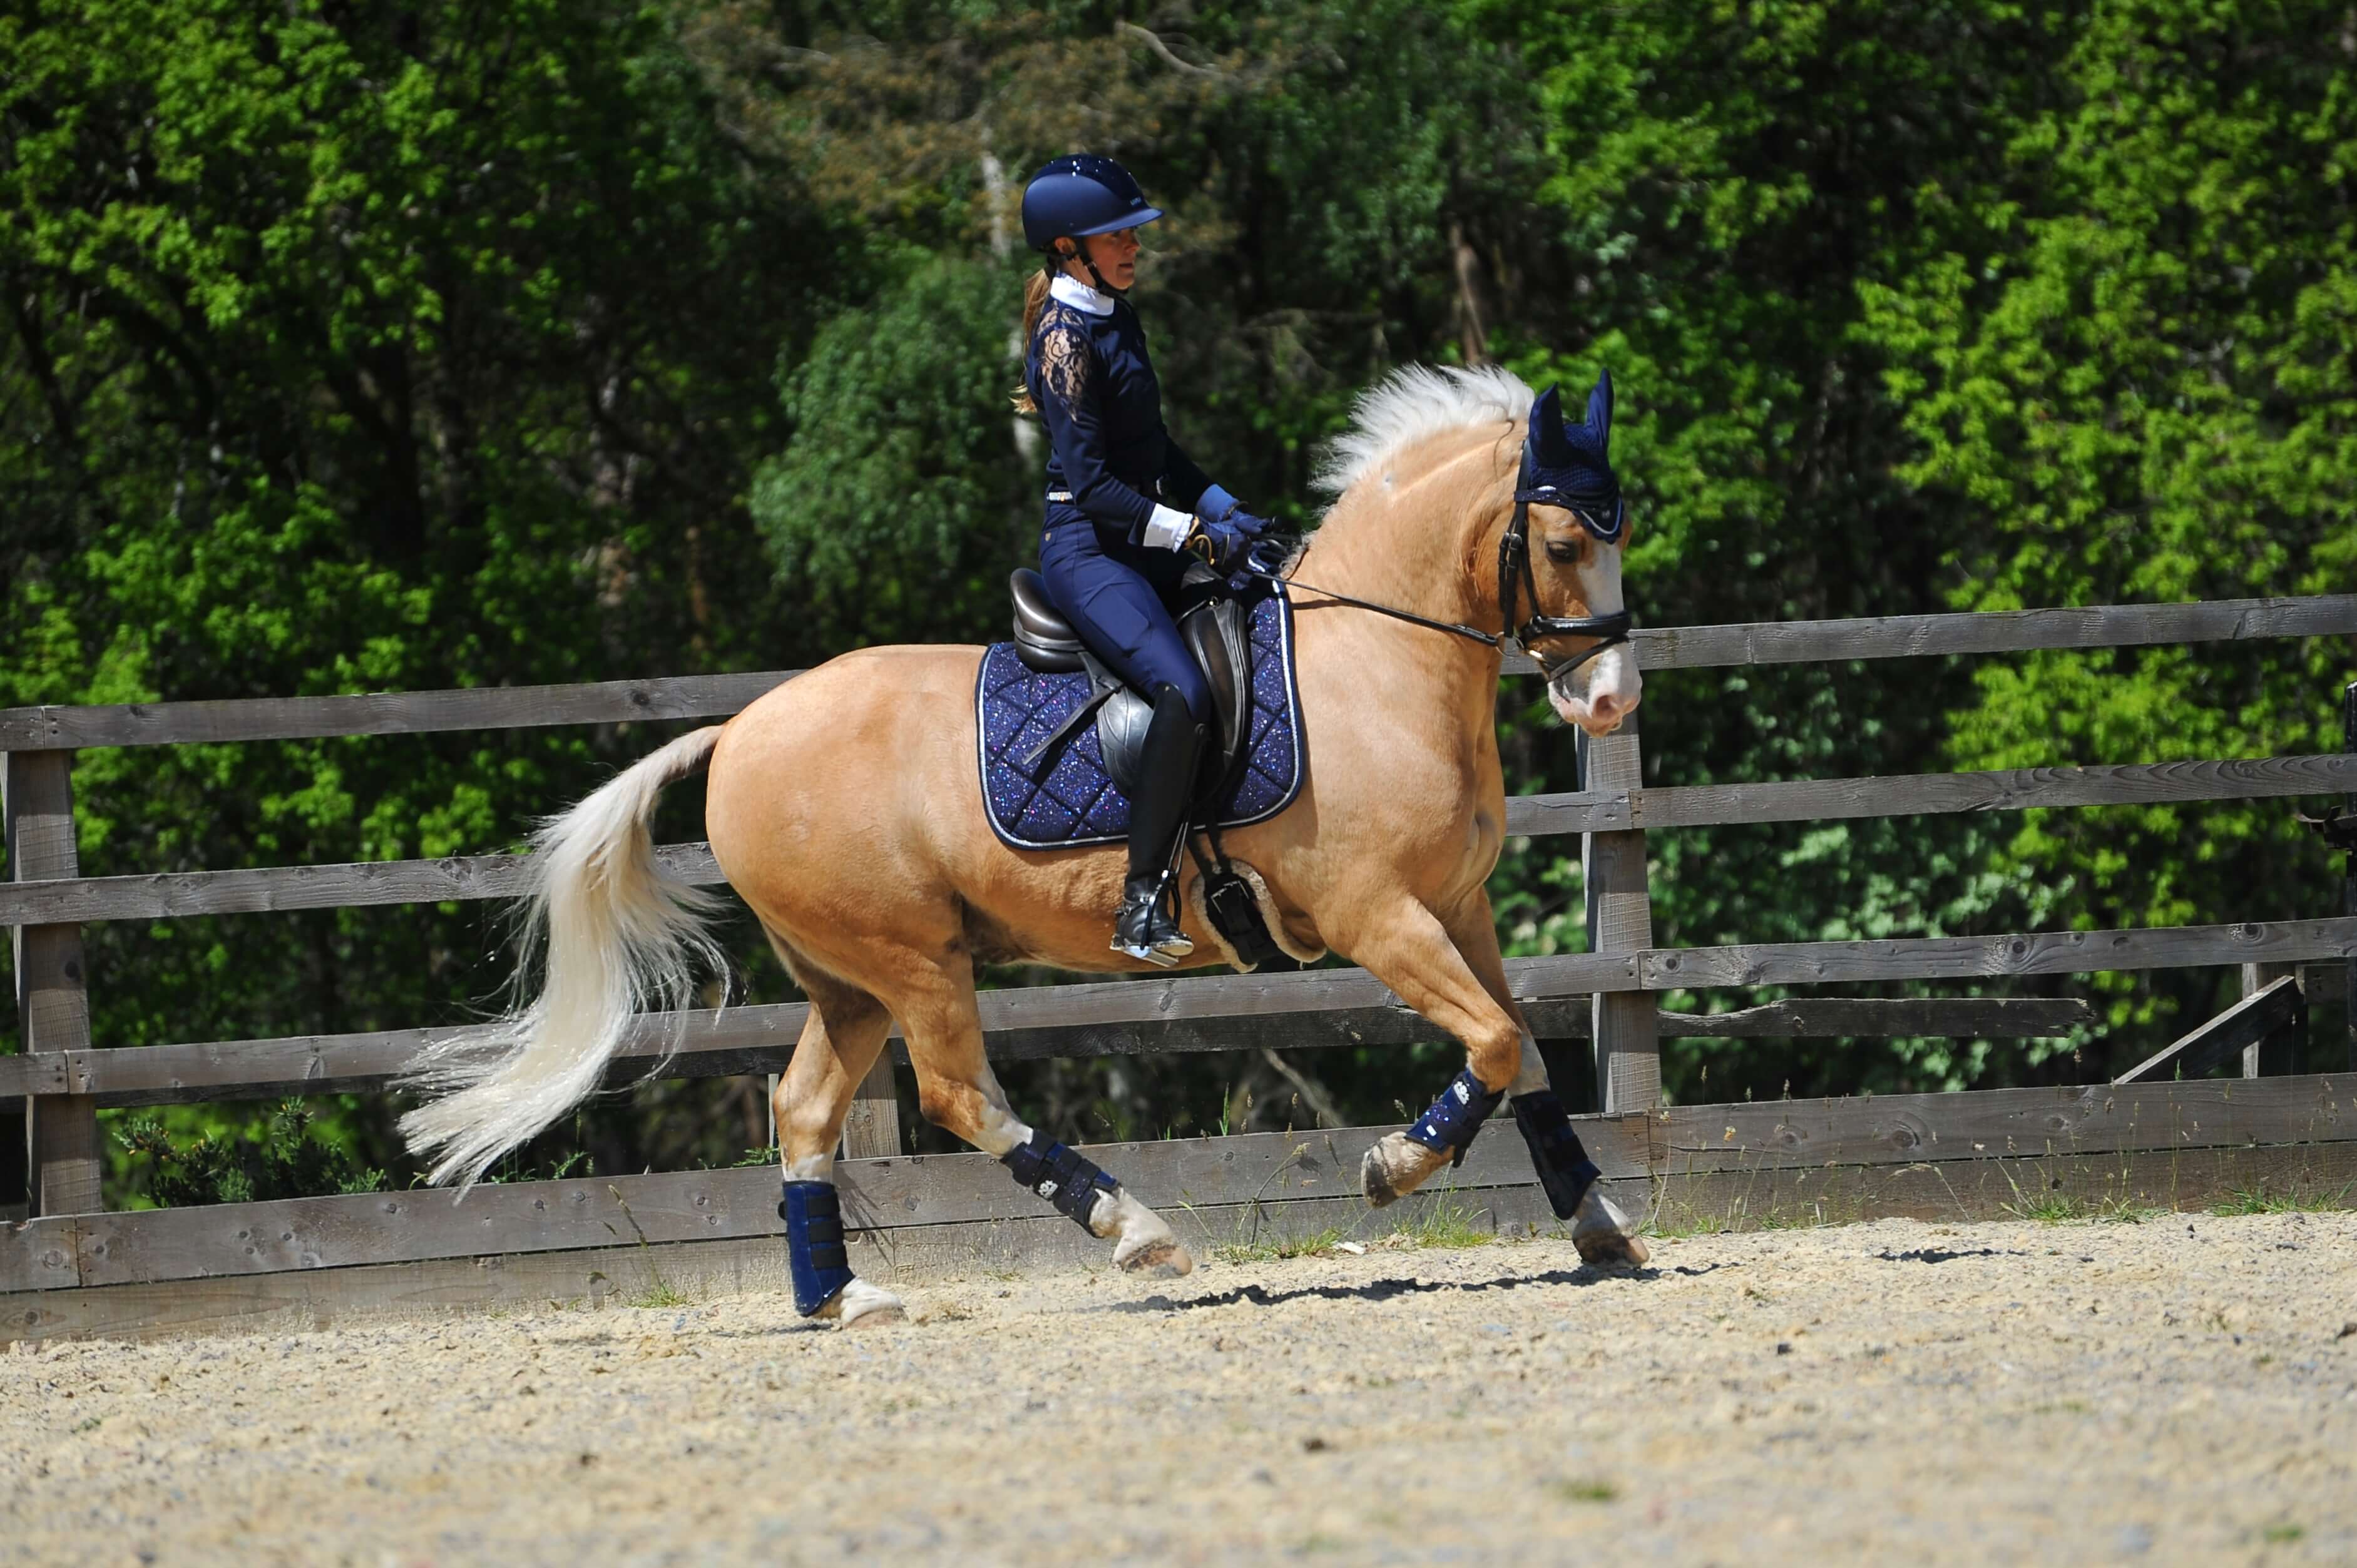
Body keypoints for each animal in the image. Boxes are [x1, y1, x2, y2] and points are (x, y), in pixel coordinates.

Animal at [405, 363, 1650, 1320]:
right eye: (1557, 541)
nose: (1610, 703)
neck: (1378, 667)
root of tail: (743, 729)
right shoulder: (1374, 915)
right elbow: (1493, 1042)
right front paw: (1394, 1166)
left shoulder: (1459, 909)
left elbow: (1523, 1051)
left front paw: (1598, 1224)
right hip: (914, 959)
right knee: (960, 1096)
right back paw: (1135, 1230)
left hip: (848, 980)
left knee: (804, 1109)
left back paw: (841, 1298)